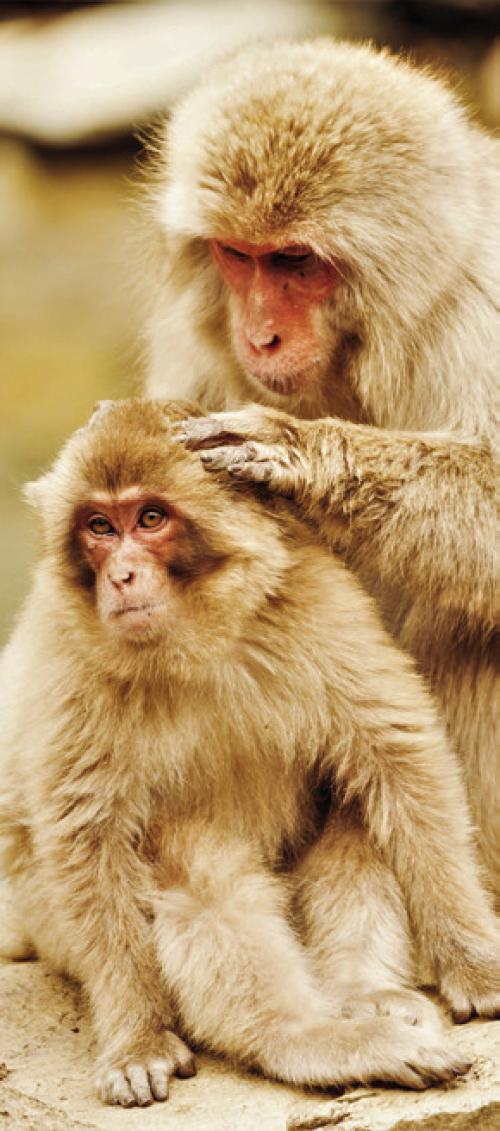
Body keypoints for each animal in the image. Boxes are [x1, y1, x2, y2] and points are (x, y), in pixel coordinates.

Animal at [1, 398, 499, 1108]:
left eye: (149, 518)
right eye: (98, 526)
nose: (120, 575)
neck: (199, 640)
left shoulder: (318, 603)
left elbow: (396, 756)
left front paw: (474, 961)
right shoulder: (70, 660)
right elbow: (88, 841)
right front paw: (137, 1038)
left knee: (356, 798)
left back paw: (362, 994)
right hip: (46, 923)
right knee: (186, 865)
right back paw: (309, 1040)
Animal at [144, 38, 500, 903]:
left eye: (296, 262)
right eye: (239, 257)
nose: (261, 336)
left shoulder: (481, 306)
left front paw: (299, 457)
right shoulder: (196, 338)